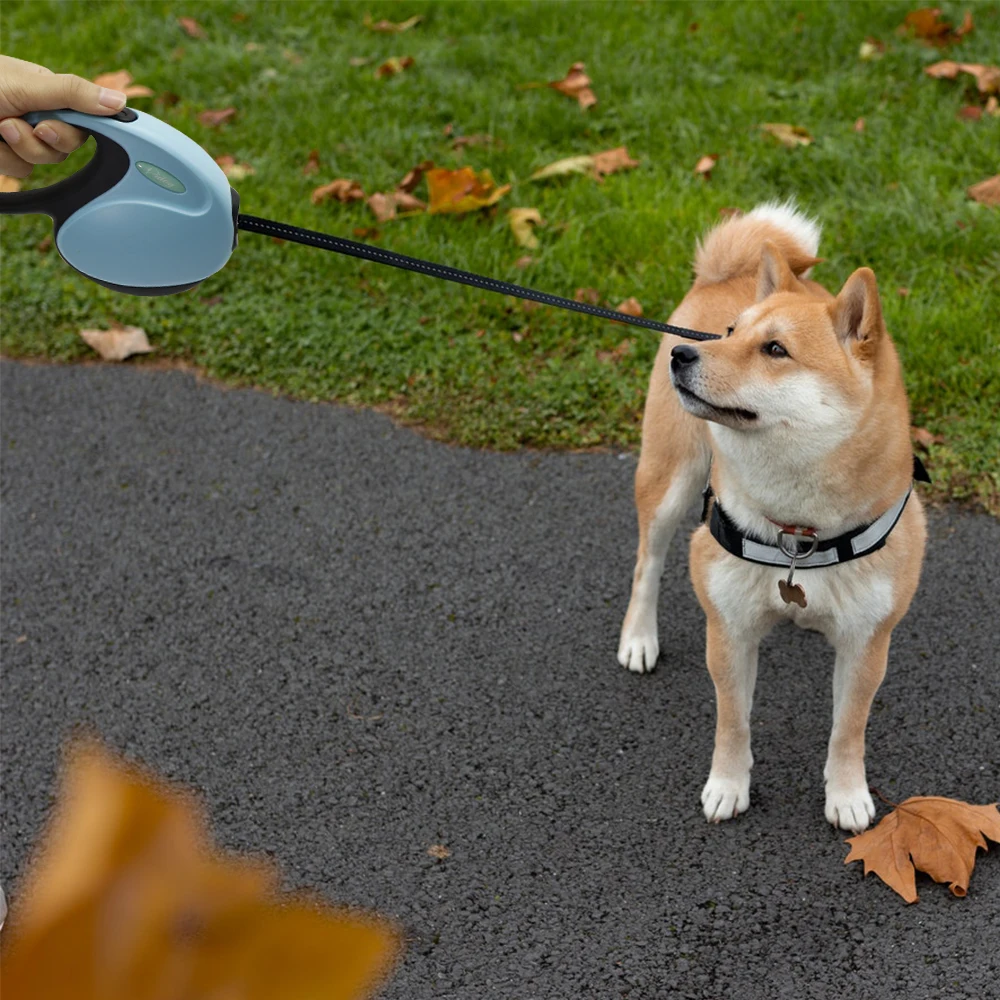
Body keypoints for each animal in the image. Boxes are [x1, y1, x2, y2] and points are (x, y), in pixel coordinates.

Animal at [616, 199, 928, 832]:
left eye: (776, 350)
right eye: (732, 333)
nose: (684, 354)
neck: (798, 534)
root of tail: (722, 275)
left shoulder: (867, 641)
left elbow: (848, 728)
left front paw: (847, 795)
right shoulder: (729, 629)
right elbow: (732, 720)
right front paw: (727, 786)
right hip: (671, 478)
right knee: (647, 563)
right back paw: (638, 638)